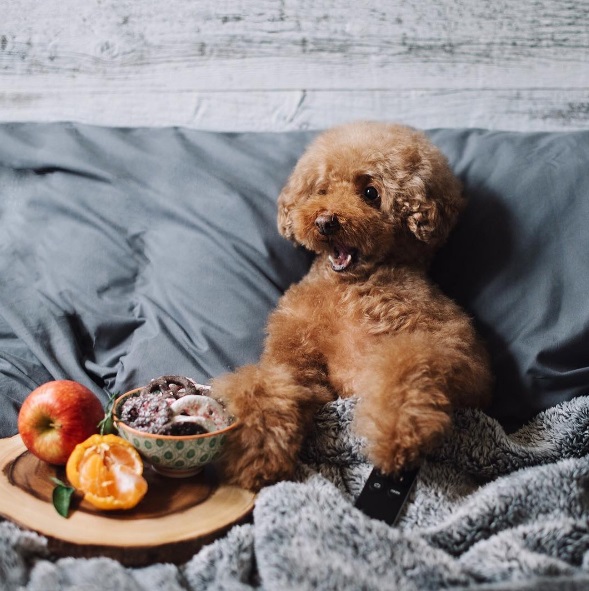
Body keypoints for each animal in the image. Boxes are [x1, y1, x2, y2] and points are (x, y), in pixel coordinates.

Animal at [211, 122, 492, 492]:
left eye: (370, 192)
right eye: (322, 189)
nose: (325, 221)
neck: (348, 290)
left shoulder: (462, 356)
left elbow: (409, 361)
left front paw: (397, 437)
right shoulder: (298, 363)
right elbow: (270, 383)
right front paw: (256, 450)